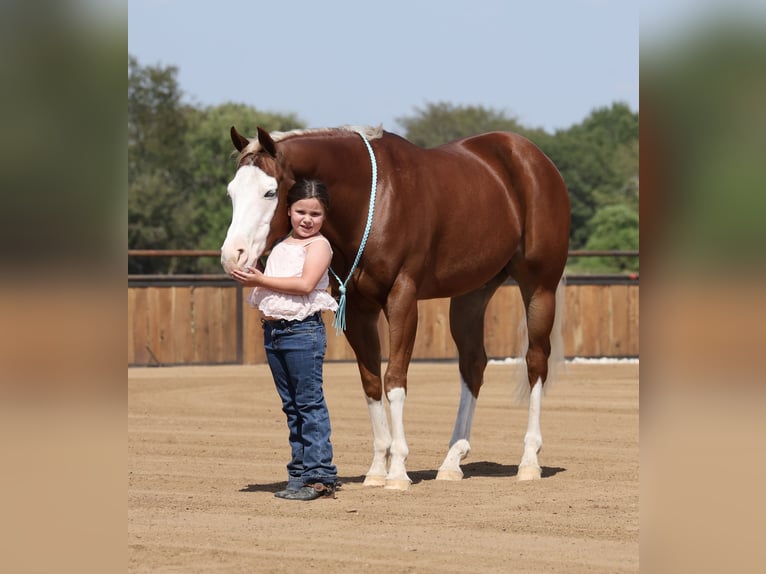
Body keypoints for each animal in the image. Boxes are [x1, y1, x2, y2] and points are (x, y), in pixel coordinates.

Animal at [220, 124, 570, 489]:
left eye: (270, 192)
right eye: (232, 193)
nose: (233, 256)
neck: (371, 202)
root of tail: (533, 158)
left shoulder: (402, 298)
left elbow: (395, 380)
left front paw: (398, 470)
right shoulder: (358, 309)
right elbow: (372, 383)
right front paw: (377, 469)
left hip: (539, 287)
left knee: (535, 362)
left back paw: (529, 461)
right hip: (472, 293)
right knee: (473, 365)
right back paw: (451, 461)